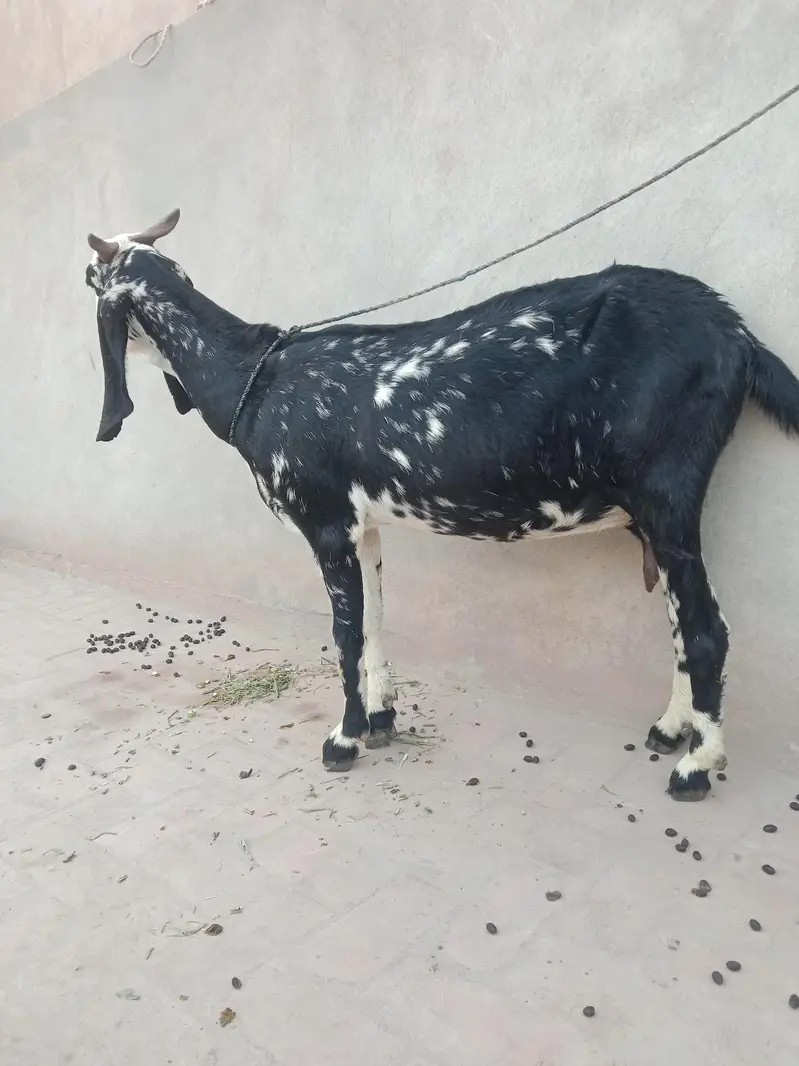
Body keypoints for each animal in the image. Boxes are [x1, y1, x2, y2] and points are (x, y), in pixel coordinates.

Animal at [84, 209, 799, 801]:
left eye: (93, 279)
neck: (256, 378)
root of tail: (738, 334)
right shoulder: (363, 525)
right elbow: (374, 616)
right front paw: (381, 717)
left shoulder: (325, 521)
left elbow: (345, 631)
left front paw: (343, 739)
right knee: (681, 623)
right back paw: (671, 730)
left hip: (667, 492)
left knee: (706, 629)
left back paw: (696, 767)